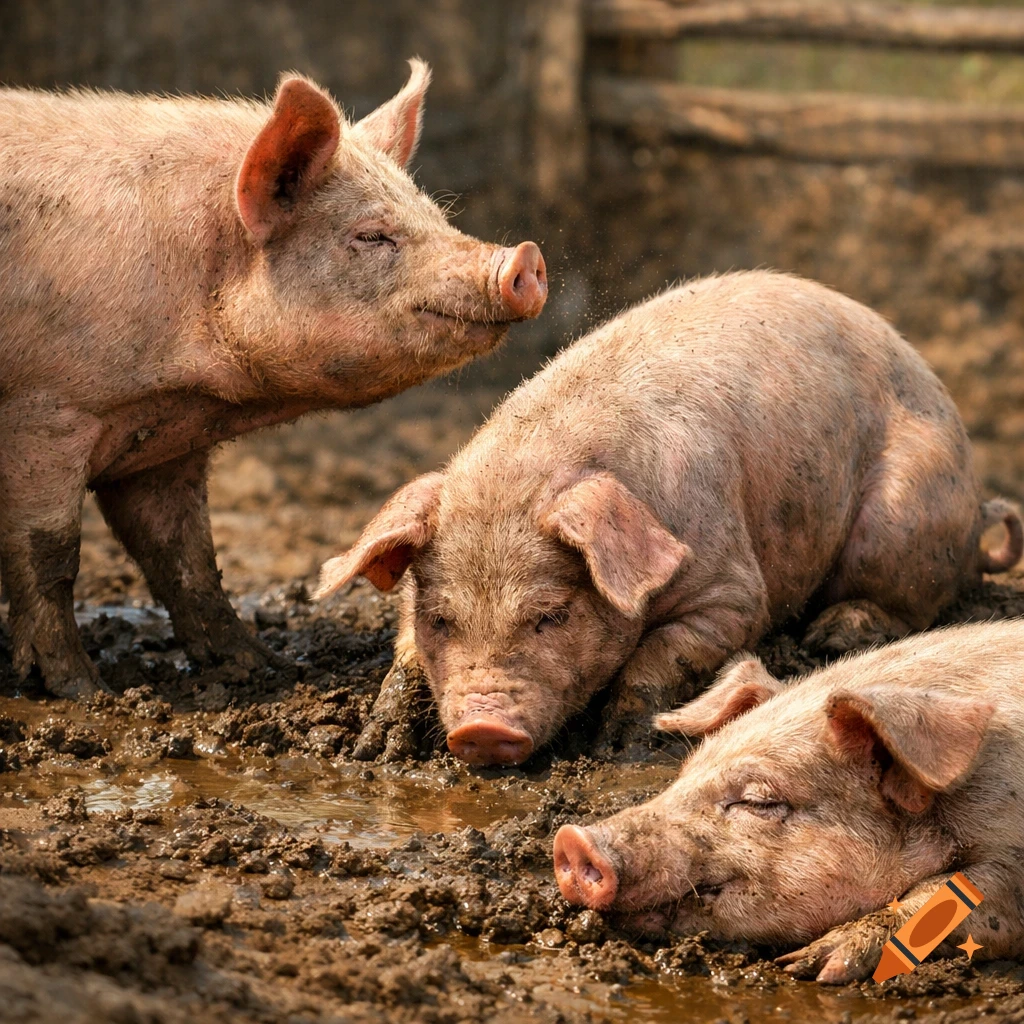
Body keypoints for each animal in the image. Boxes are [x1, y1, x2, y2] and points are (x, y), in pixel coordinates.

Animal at [0, 60, 547, 698]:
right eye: (370, 235)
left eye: (435, 216)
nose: (523, 256)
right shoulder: (46, 409)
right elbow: (50, 554)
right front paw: (82, 690)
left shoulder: (160, 443)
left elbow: (187, 558)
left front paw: (264, 668)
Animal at [315, 271, 1021, 766]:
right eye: (441, 618)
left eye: (552, 615)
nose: (482, 730)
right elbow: (406, 656)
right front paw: (374, 749)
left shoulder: (735, 590)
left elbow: (663, 653)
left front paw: (618, 745)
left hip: (902, 519)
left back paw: (832, 635)